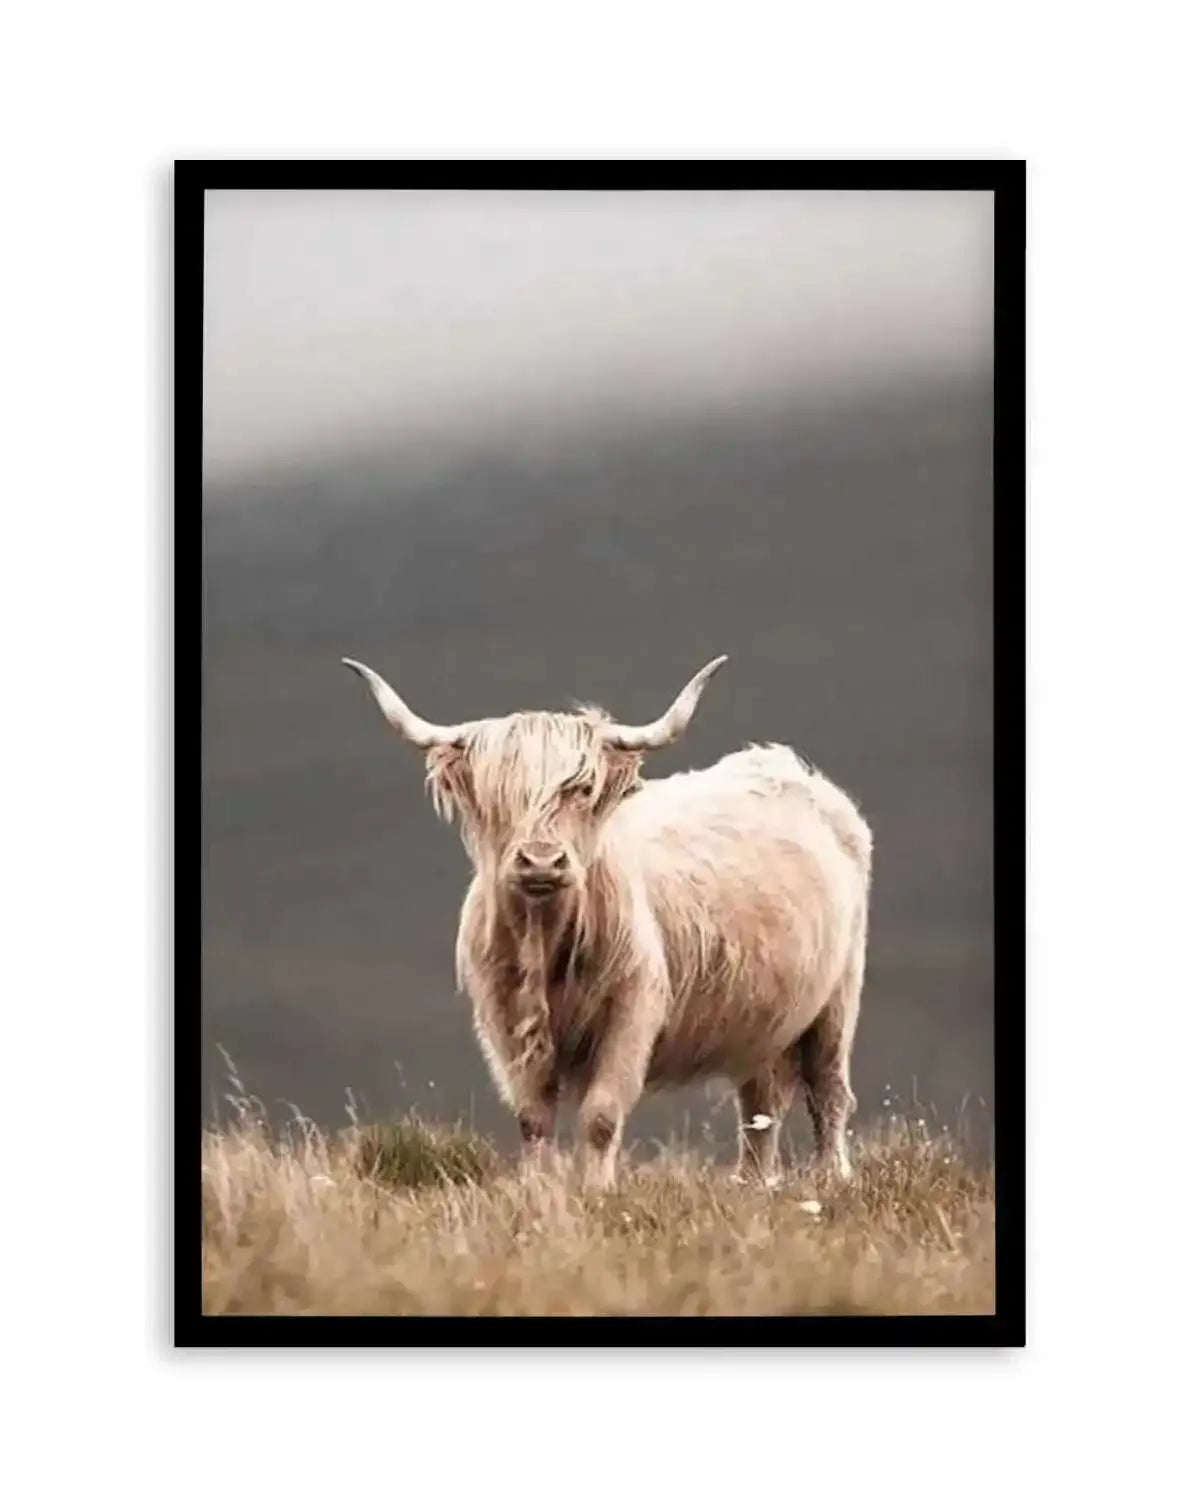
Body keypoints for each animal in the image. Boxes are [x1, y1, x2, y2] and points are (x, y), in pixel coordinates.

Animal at [342, 654, 872, 1190]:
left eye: (582, 789)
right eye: (499, 795)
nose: (541, 861)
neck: (547, 944)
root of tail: (783, 765)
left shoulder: (632, 1013)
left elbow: (600, 1114)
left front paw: (597, 1191)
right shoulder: (504, 1022)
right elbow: (532, 1118)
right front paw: (540, 1189)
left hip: (838, 998)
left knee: (828, 1090)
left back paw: (834, 1177)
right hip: (762, 1020)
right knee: (760, 1104)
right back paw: (753, 1185)